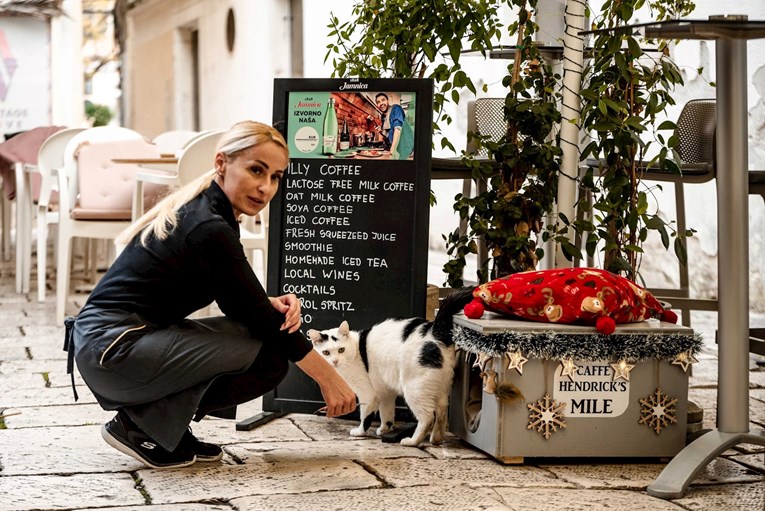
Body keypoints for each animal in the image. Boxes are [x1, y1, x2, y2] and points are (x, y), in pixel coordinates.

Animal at [304, 288, 472, 448]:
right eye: (326, 352)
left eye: (341, 350)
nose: (335, 361)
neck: (356, 351)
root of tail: (435, 331)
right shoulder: (385, 391)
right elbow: (387, 412)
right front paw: (385, 429)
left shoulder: (368, 393)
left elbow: (366, 415)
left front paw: (360, 432)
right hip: (440, 387)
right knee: (442, 411)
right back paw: (436, 439)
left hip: (414, 389)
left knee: (428, 417)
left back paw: (412, 441)